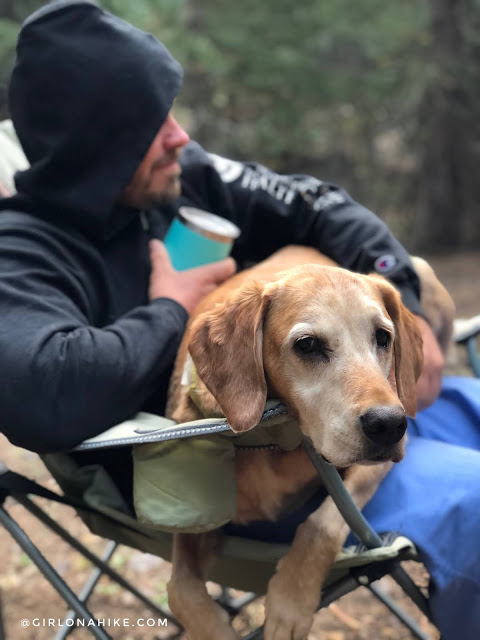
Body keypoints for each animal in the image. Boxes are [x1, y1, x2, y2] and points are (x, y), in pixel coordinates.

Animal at [165, 248, 450, 640]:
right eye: (308, 345)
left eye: (383, 337)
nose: (390, 425)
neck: (270, 443)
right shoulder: (196, 519)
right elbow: (181, 589)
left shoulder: (369, 472)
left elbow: (322, 525)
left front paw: (290, 601)